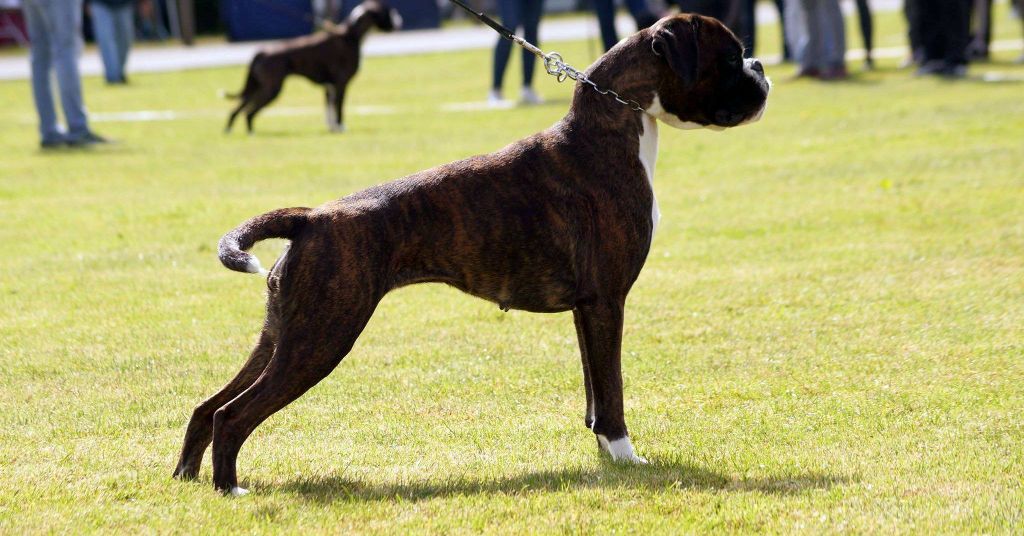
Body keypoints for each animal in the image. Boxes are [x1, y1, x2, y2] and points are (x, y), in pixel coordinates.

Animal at [224, 0, 399, 134]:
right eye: (388, 12)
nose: (399, 21)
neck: (351, 35)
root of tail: (262, 52)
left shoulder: (329, 88)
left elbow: (329, 111)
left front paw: (333, 129)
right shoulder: (341, 84)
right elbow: (339, 108)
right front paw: (341, 128)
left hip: (256, 87)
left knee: (237, 109)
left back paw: (230, 131)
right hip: (271, 89)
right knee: (249, 112)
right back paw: (251, 133)